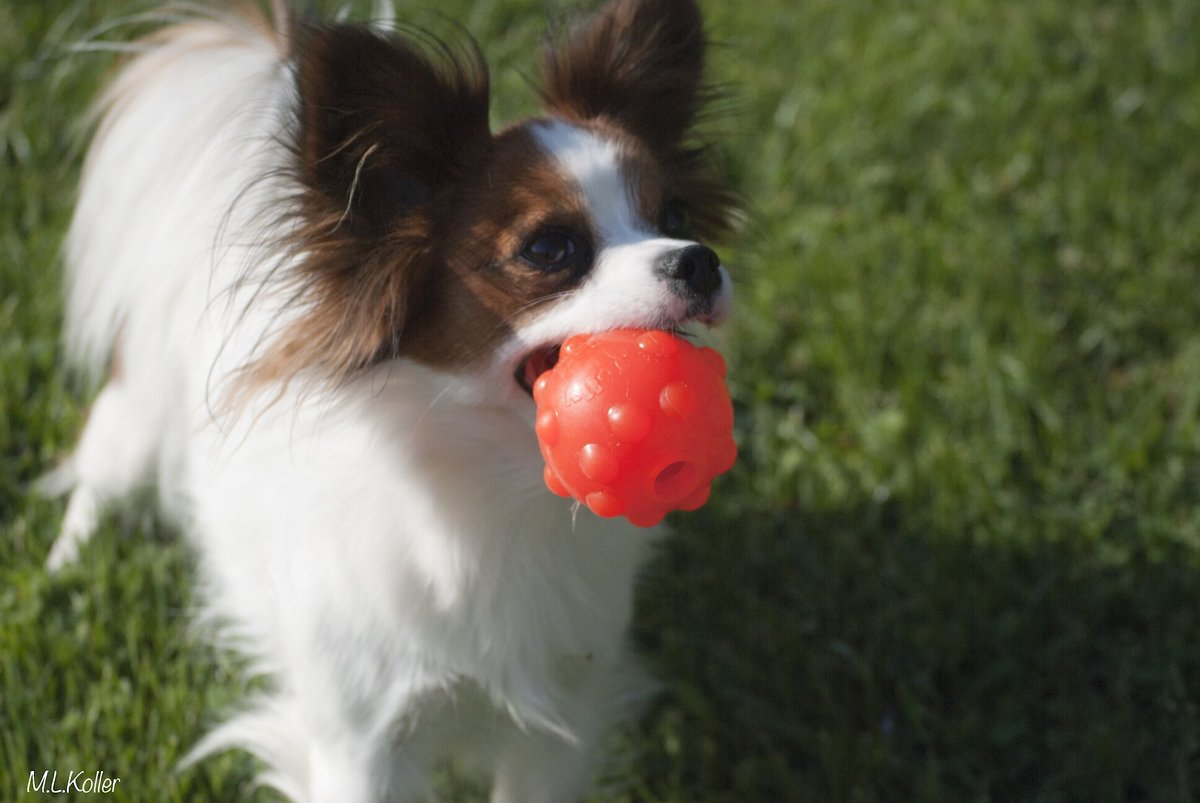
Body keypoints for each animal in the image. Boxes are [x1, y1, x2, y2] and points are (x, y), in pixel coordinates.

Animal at [44, 1, 729, 796]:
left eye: (675, 215)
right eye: (550, 249)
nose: (699, 261)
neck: (492, 492)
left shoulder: (558, 725)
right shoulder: (362, 738)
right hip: (138, 413)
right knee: (98, 475)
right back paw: (66, 563)